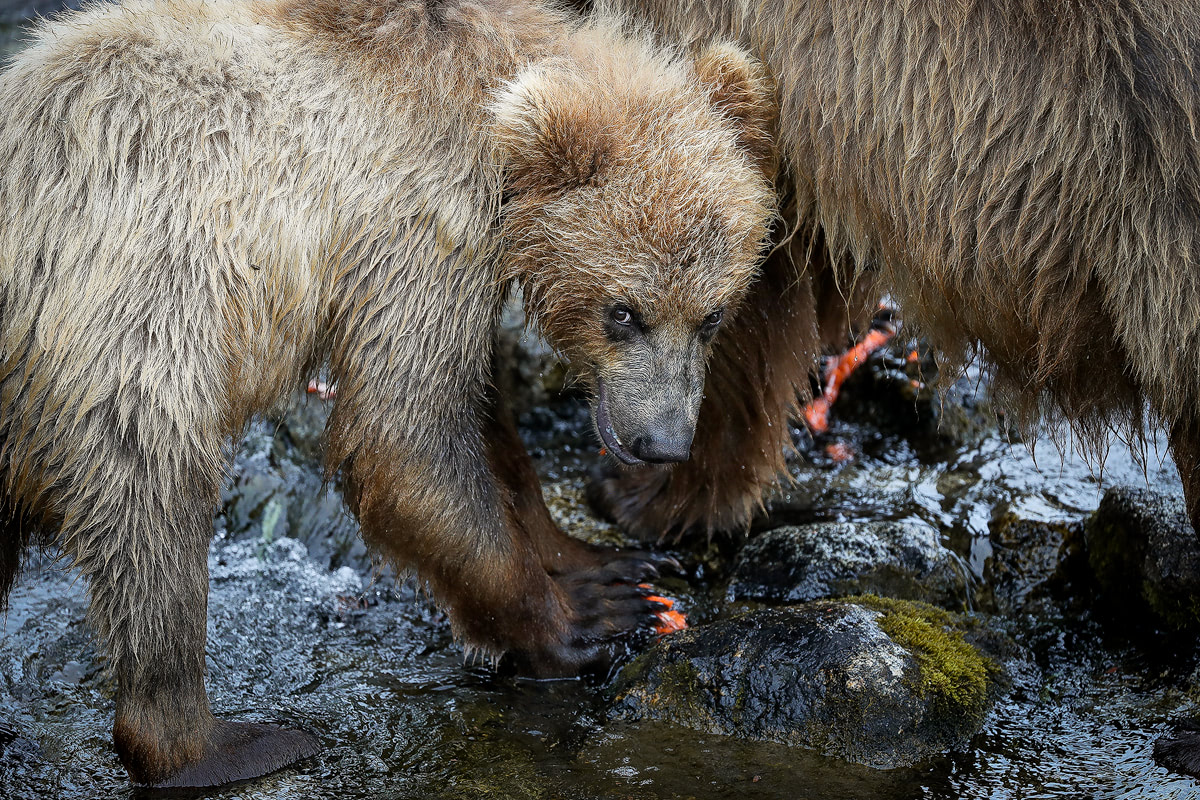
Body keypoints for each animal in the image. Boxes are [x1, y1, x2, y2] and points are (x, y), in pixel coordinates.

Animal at [0, 0, 777, 786]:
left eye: (713, 315)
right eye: (623, 311)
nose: (661, 441)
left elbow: (481, 423)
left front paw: (604, 565)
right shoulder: (421, 223)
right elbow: (405, 431)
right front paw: (580, 624)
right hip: (121, 327)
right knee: (153, 508)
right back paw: (223, 742)